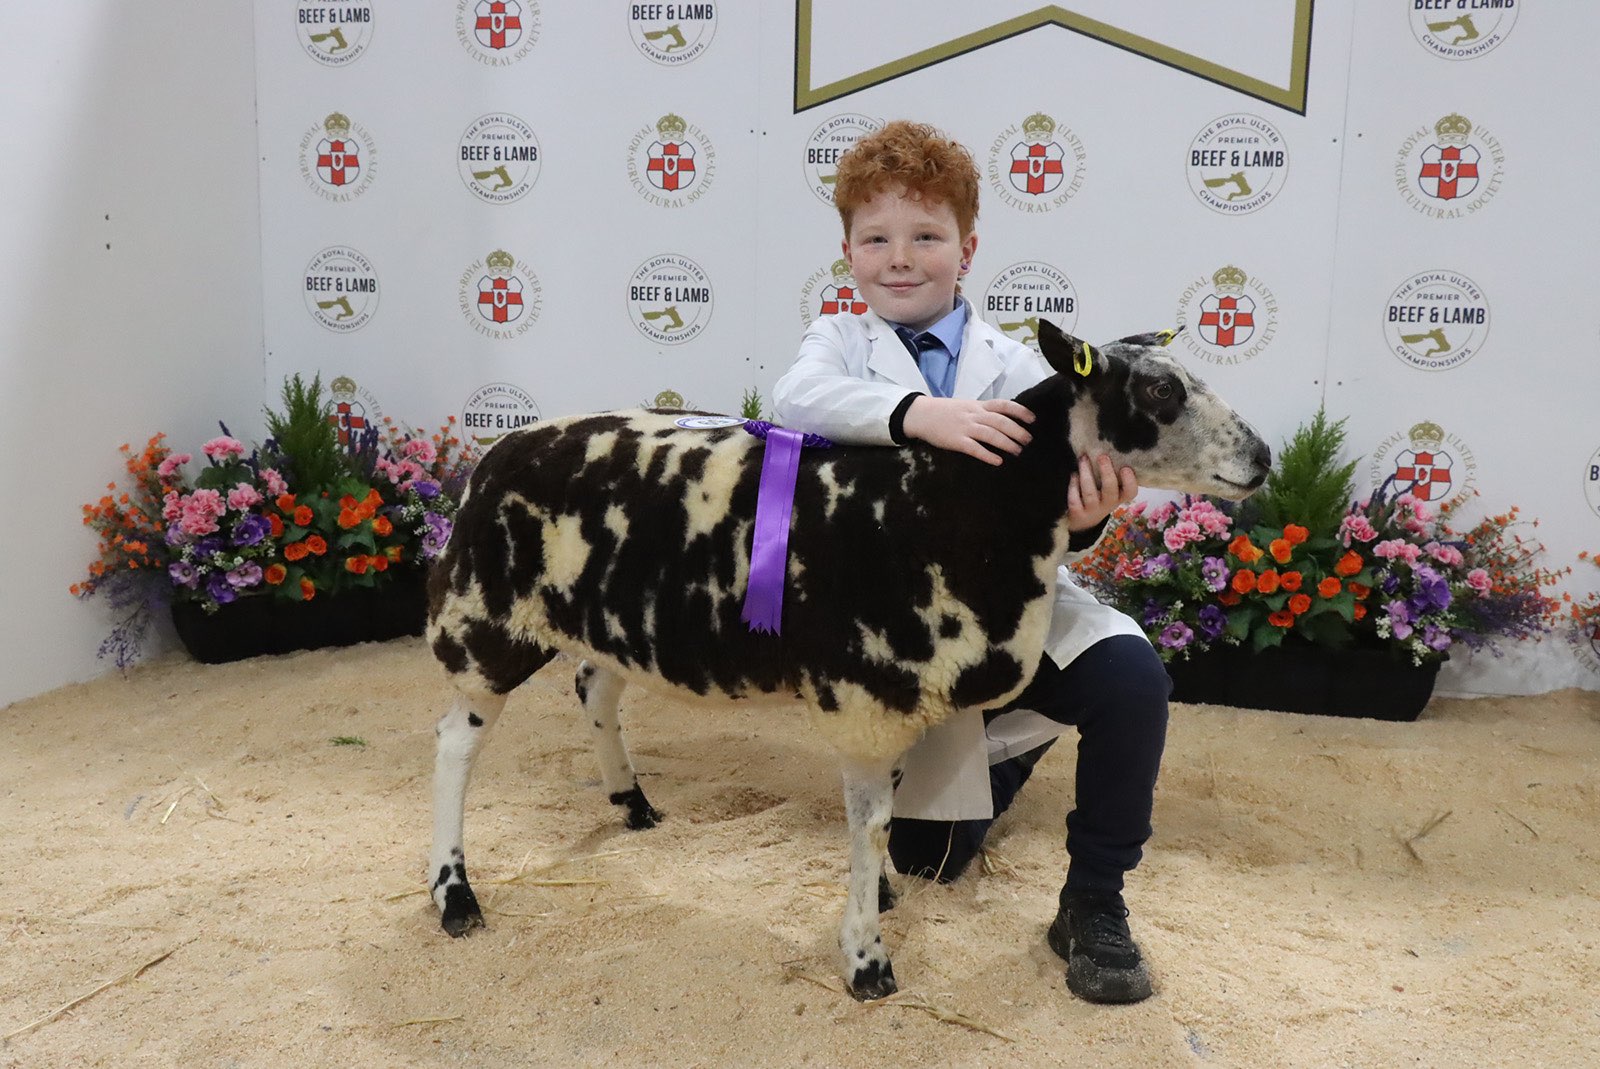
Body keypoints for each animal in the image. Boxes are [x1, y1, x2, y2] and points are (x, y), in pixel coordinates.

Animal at [425, 321, 1273, 998]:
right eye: (1161, 388)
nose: (1263, 457)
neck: (963, 499)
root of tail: (498, 450)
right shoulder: (866, 694)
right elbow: (868, 827)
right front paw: (867, 959)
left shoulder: (893, 699)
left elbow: (883, 814)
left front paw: (885, 899)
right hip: (484, 614)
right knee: (456, 744)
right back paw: (454, 893)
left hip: (613, 615)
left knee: (593, 686)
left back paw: (631, 802)